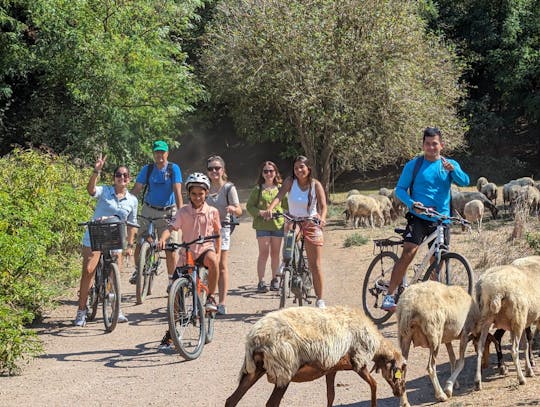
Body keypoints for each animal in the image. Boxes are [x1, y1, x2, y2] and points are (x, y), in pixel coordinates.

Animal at [225, 308, 410, 407]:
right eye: (401, 371)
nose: (400, 391)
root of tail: (255, 338)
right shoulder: (358, 361)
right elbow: (374, 385)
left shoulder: (332, 369)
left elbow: (331, 395)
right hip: (284, 370)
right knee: (271, 404)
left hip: (254, 370)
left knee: (231, 400)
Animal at [472, 260, 540, 390]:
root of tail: (495, 290)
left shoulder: (522, 322)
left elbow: (525, 344)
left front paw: (529, 369)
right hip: (518, 318)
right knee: (514, 350)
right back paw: (521, 379)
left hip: (487, 320)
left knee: (480, 347)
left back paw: (478, 382)